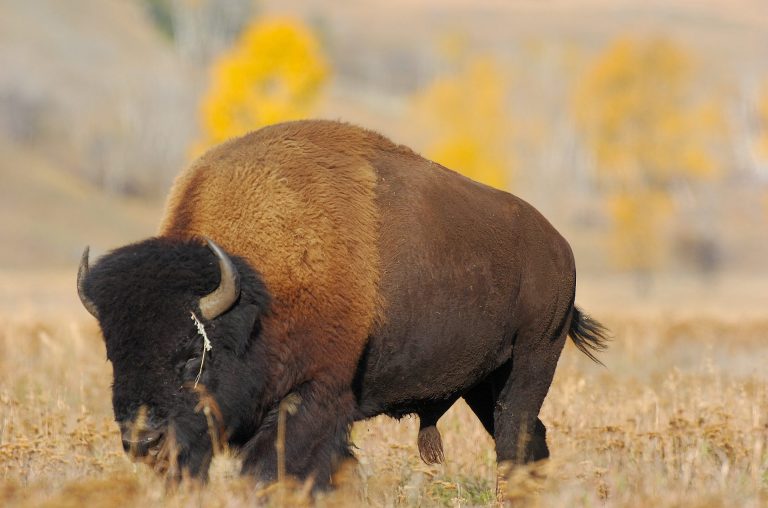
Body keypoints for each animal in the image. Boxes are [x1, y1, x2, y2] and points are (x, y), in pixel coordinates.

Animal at [77, 119, 607, 489]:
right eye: (112, 355)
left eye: (192, 357)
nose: (143, 442)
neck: (255, 298)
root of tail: (559, 247)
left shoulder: (313, 398)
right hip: (482, 381)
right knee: (530, 442)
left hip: (532, 360)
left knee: (515, 439)